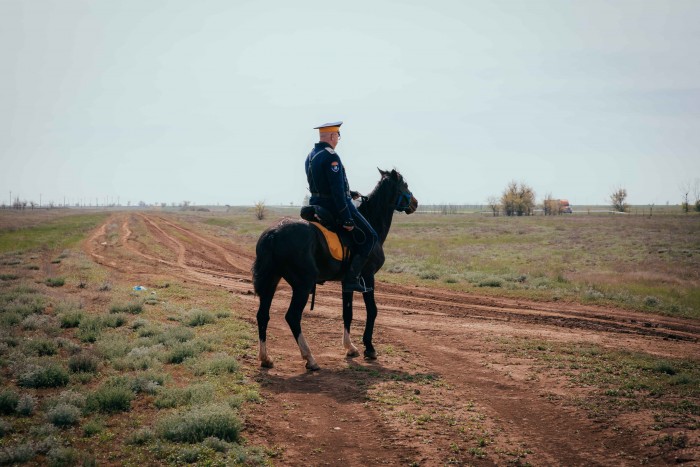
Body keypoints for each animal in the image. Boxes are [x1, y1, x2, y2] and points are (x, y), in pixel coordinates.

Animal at [252, 170, 416, 372]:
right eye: (405, 185)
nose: (415, 202)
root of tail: (273, 233)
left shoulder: (348, 282)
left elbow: (348, 313)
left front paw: (350, 347)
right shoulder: (368, 277)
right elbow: (372, 310)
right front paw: (369, 348)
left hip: (272, 280)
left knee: (262, 315)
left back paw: (265, 358)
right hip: (303, 285)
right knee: (292, 316)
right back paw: (310, 358)